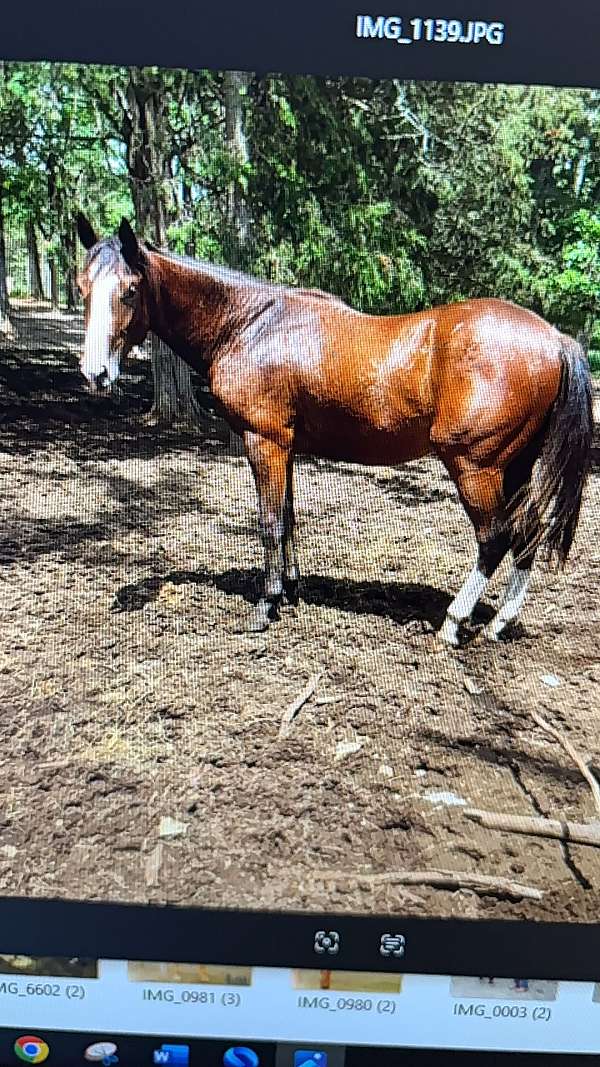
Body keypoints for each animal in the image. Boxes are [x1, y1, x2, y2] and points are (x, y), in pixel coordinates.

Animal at [75, 214, 592, 645]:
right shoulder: (284, 447)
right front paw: (289, 590)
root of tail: (555, 339)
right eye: (82, 287)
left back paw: (453, 623)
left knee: (495, 539)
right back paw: (500, 623)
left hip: (476, 468)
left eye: (130, 289)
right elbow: (287, 518)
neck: (250, 324)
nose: (95, 373)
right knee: (528, 534)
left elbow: (269, 522)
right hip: (516, 467)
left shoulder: (263, 442)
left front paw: (264, 605)